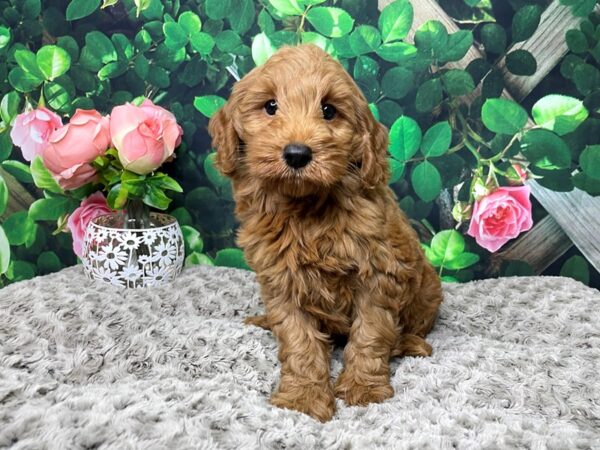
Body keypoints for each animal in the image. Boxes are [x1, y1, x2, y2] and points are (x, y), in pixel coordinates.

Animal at [209, 44, 442, 422]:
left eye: (329, 111)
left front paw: (364, 388)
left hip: (428, 291)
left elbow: (370, 334)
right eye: (270, 106)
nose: (297, 153)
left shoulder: (378, 274)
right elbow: (298, 341)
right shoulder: (282, 282)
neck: (308, 210)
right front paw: (303, 398)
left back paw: (408, 343)